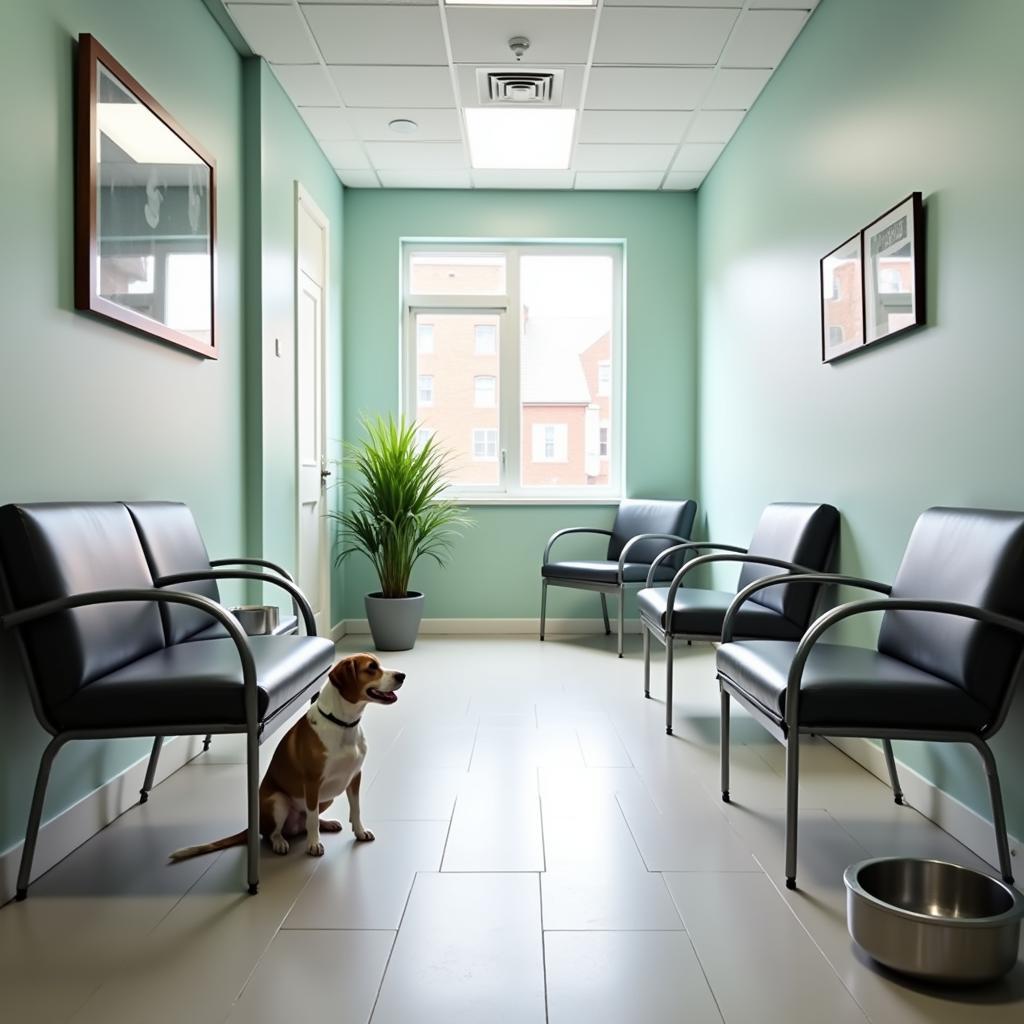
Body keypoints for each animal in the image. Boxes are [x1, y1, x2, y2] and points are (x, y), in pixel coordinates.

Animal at [172, 651, 403, 860]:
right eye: (371, 668)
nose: (402, 675)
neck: (342, 724)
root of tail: (254, 824)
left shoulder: (354, 776)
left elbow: (355, 809)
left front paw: (360, 831)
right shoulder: (312, 782)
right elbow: (312, 819)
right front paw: (313, 845)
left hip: (326, 798)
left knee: (306, 823)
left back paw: (327, 824)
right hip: (278, 801)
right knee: (274, 832)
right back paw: (280, 842)